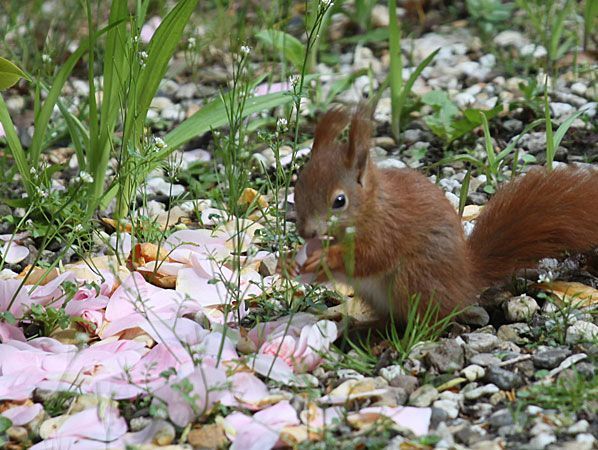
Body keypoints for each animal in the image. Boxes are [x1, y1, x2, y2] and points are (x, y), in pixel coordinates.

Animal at [296, 104, 598, 324]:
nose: (306, 232)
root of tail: (465, 281)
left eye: (339, 201)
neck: (372, 206)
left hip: (414, 280)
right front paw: (296, 263)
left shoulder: (389, 230)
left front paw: (326, 257)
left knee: (431, 322)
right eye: (298, 188)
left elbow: (369, 258)